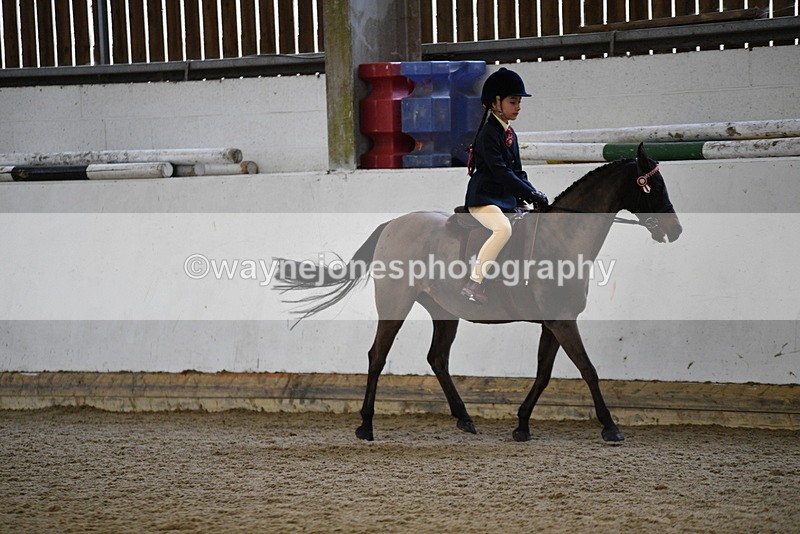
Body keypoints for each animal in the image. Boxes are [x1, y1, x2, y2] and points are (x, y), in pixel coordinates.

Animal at [275, 143, 682, 443]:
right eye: (654, 187)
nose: (675, 230)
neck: (563, 236)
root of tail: (394, 223)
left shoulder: (553, 323)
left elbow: (544, 373)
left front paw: (522, 425)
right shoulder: (562, 321)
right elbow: (588, 369)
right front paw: (610, 427)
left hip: (443, 311)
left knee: (437, 358)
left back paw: (464, 418)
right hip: (395, 303)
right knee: (378, 355)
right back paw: (366, 426)